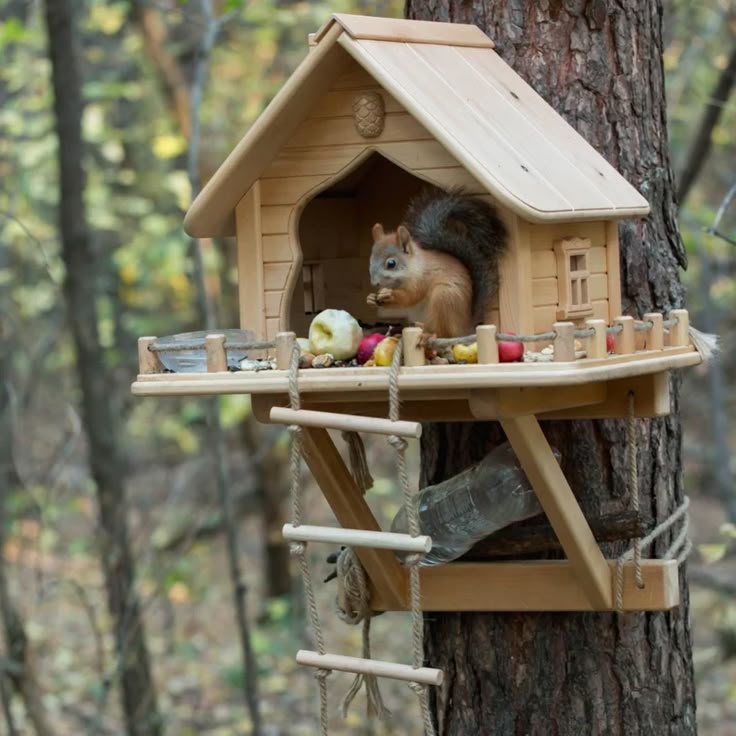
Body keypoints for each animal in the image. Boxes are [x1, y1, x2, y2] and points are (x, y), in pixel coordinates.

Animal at [366, 190, 506, 340]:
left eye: (391, 264)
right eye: (370, 259)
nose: (374, 283)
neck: (414, 267)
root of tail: (465, 326)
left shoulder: (422, 279)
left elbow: (410, 296)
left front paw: (388, 294)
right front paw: (371, 298)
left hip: (443, 297)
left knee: (444, 334)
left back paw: (429, 335)